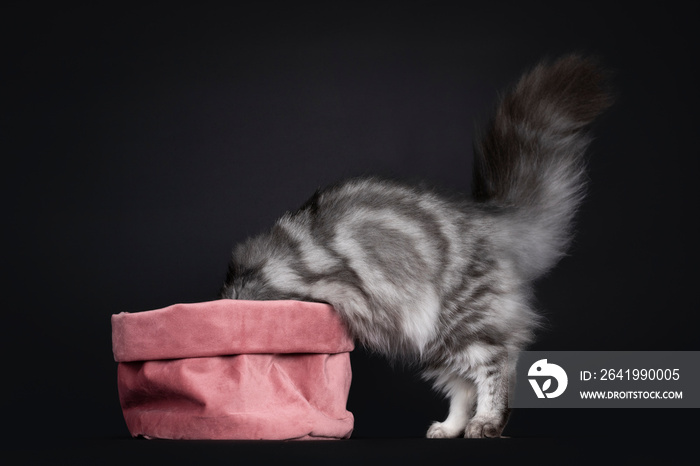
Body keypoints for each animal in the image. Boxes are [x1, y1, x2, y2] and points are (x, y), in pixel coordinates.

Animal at [220, 56, 612, 438]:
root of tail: (486, 216)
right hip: (429, 338)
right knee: (462, 386)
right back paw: (450, 427)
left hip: (461, 322)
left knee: (497, 365)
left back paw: (486, 422)